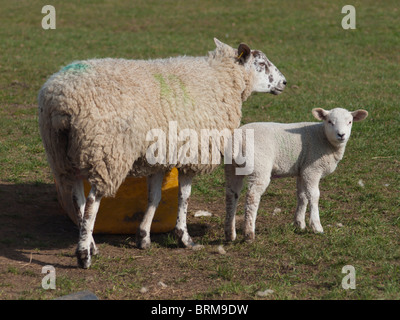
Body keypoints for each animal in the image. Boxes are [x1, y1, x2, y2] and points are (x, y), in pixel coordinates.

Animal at [38, 37, 288, 268]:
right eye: (262, 63)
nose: (284, 82)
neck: (220, 78)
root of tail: (61, 104)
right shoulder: (193, 152)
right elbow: (184, 196)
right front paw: (184, 238)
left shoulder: (160, 154)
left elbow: (154, 197)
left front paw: (143, 237)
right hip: (104, 154)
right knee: (91, 203)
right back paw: (84, 255)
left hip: (64, 156)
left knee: (78, 200)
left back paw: (91, 244)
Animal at [223, 106, 368, 241]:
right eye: (329, 121)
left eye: (350, 122)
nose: (341, 135)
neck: (323, 137)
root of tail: (237, 139)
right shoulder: (312, 169)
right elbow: (314, 196)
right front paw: (316, 226)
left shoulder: (302, 170)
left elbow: (302, 196)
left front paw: (299, 223)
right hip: (259, 166)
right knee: (252, 196)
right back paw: (249, 233)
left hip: (231, 168)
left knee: (231, 195)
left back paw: (230, 233)